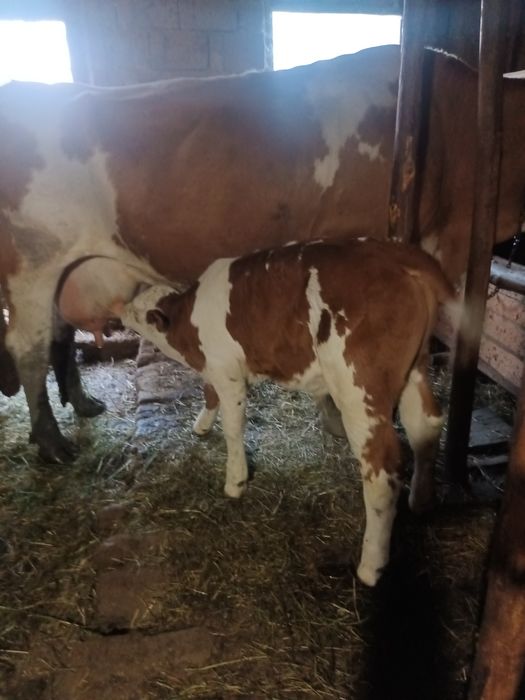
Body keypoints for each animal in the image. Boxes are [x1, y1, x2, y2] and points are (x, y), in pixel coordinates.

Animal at [1, 45, 524, 461]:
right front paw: (335, 415)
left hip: (63, 270)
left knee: (59, 337)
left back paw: (84, 404)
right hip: (32, 266)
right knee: (28, 349)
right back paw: (52, 443)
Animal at [109, 238, 454, 586]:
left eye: (140, 311)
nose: (117, 308)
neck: (189, 329)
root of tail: (396, 253)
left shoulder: (227, 372)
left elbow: (233, 427)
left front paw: (235, 481)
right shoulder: (215, 369)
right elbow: (209, 395)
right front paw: (201, 426)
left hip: (359, 388)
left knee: (381, 472)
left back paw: (371, 566)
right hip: (415, 369)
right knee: (426, 426)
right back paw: (422, 500)